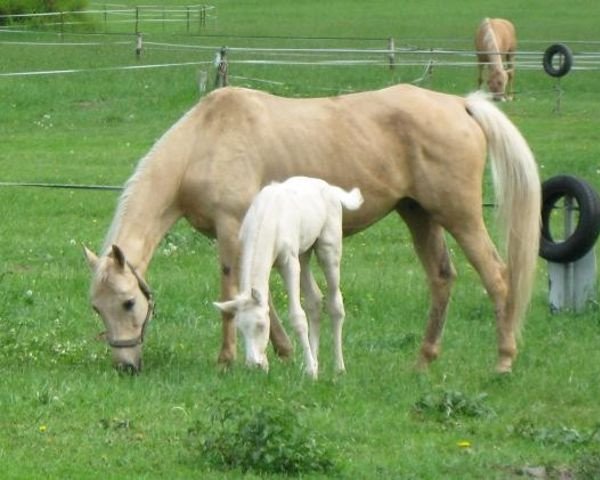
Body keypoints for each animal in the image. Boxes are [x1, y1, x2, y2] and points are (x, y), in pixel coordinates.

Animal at [216, 176, 366, 378]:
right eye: (241, 329)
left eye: (261, 325)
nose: (254, 366)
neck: (269, 218)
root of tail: (329, 188)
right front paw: (310, 367)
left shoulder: (289, 263)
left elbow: (297, 316)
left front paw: (311, 372)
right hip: (303, 255)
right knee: (314, 301)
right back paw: (315, 361)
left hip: (329, 248)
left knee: (335, 303)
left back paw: (338, 368)